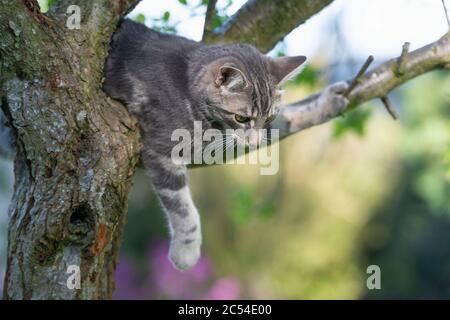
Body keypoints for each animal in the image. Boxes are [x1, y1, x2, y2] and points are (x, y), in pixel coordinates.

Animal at [0, 18, 350, 272]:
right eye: (241, 117)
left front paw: (328, 102)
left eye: (268, 116)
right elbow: (183, 208)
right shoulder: (162, 148)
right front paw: (187, 249)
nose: (253, 135)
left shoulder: (219, 141)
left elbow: (290, 118)